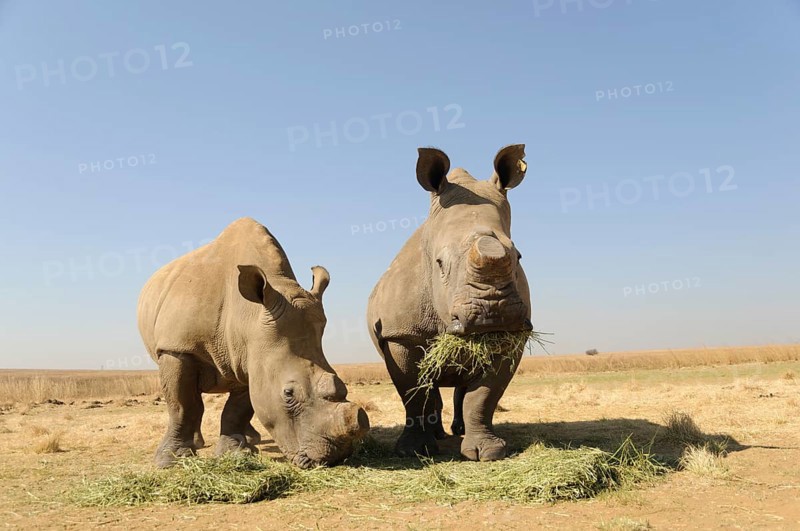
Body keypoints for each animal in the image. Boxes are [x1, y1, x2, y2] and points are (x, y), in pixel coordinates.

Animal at [137, 217, 369, 468]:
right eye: (288, 393)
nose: (335, 457)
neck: (248, 316)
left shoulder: (248, 356)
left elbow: (239, 408)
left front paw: (235, 453)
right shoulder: (177, 348)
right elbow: (182, 405)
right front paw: (171, 461)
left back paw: (250, 440)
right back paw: (199, 444)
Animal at [367, 145, 532, 461]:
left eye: (518, 257)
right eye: (440, 263)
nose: (492, 312)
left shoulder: (513, 336)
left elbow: (483, 397)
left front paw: (488, 452)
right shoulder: (400, 335)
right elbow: (414, 392)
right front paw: (414, 451)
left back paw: (458, 431)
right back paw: (438, 435)